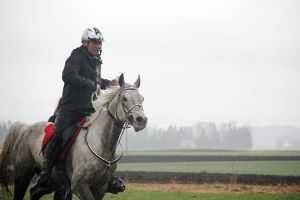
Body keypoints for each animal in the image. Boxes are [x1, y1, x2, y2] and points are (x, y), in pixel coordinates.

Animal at [0, 74, 148, 199]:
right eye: (124, 98)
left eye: (142, 98)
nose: (141, 120)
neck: (100, 144)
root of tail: (25, 127)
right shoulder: (79, 186)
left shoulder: (100, 188)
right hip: (23, 174)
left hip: (52, 182)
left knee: (34, 192)